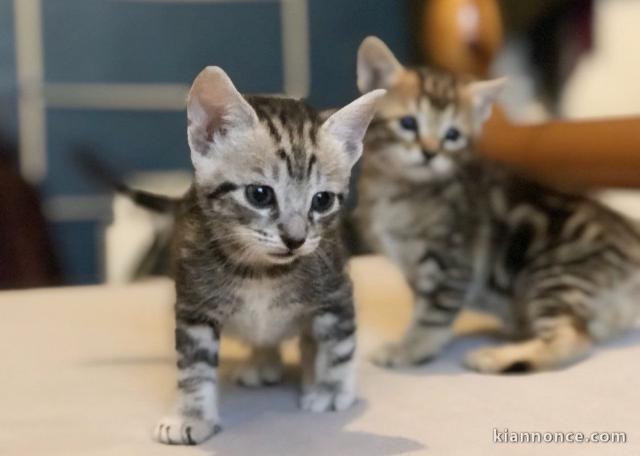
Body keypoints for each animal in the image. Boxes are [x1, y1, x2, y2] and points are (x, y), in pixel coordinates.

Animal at [155, 66, 384, 444]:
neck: (260, 272)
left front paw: (331, 389)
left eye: (322, 200)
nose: (295, 239)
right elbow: (194, 368)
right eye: (259, 194)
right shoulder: (193, 305)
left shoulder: (336, 291)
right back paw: (263, 361)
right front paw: (193, 416)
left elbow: (337, 344)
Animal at [352, 37, 640, 374]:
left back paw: (498, 357)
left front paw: (411, 348)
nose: (430, 153)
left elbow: (432, 315)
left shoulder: (451, 263)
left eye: (452, 135)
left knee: (574, 339)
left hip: (554, 274)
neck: (398, 191)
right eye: (408, 123)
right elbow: (423, 306)